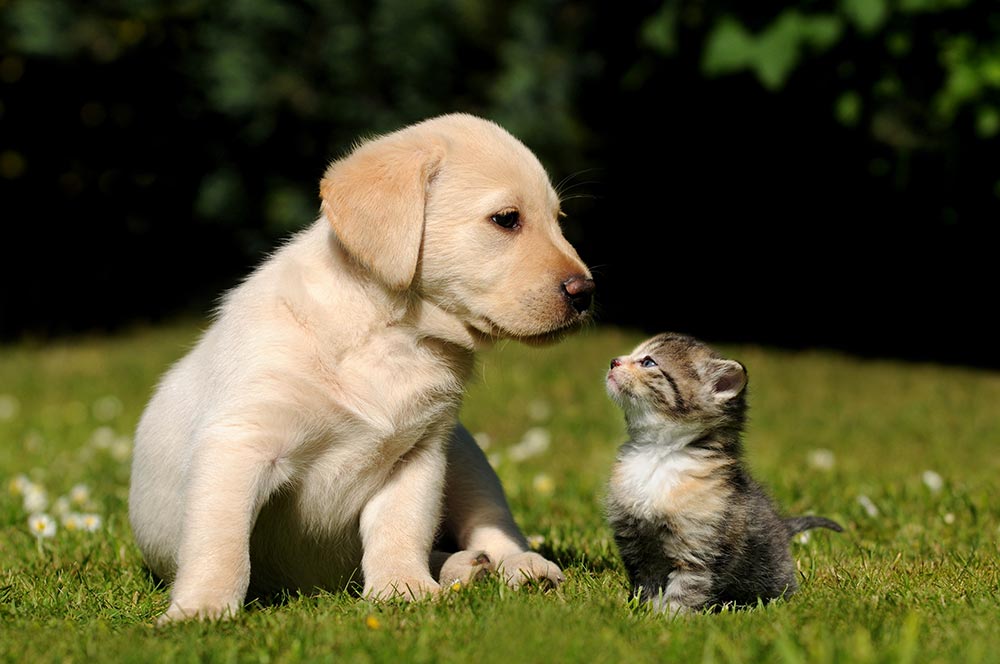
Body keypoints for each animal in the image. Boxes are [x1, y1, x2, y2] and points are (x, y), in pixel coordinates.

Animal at [125, 114, 592, 624]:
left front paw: (403, 589)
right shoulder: (239, 445)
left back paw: (512, 566)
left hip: (467, 458)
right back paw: (465, 568)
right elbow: (220, 544)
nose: (586, 292)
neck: (391, 334)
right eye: (507, 219)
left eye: (559, 221)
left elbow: (400, 529)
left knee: (492, 523)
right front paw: (201, 610)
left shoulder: (418, 455)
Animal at [600, 334, 844, 616]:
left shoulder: (699, 549)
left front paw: (670, 618)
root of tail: (783, 527)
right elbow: (646, 583)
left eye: (648, 362)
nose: (613, 361)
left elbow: (686, 589)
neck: (658, 454)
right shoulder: (636, 544)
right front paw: (643, 611)